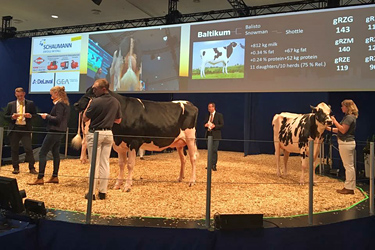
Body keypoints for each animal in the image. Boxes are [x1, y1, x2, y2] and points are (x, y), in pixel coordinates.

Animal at [72, 88, 200, 191]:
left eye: (93, 93)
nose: (76, 104)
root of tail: (188, 103)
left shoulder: (134, 142)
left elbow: (130, 164)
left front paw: (127, 186)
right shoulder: (120, 144)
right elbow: (121, 164)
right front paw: (117, 185)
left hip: (190, 138)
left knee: (193, 158)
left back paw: (192, 181)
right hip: (179, 142)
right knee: (183, 159)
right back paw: (180, 178)